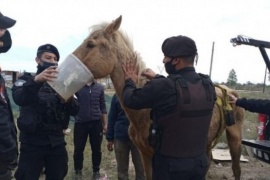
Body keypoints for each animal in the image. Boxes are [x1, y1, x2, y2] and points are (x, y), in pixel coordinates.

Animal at [71, 15, 245, 180]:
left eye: (90, 44)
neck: (144, 110)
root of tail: (231, 93)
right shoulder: (145, 155)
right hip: (207, 145)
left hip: (235, 139)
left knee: (236, 169)